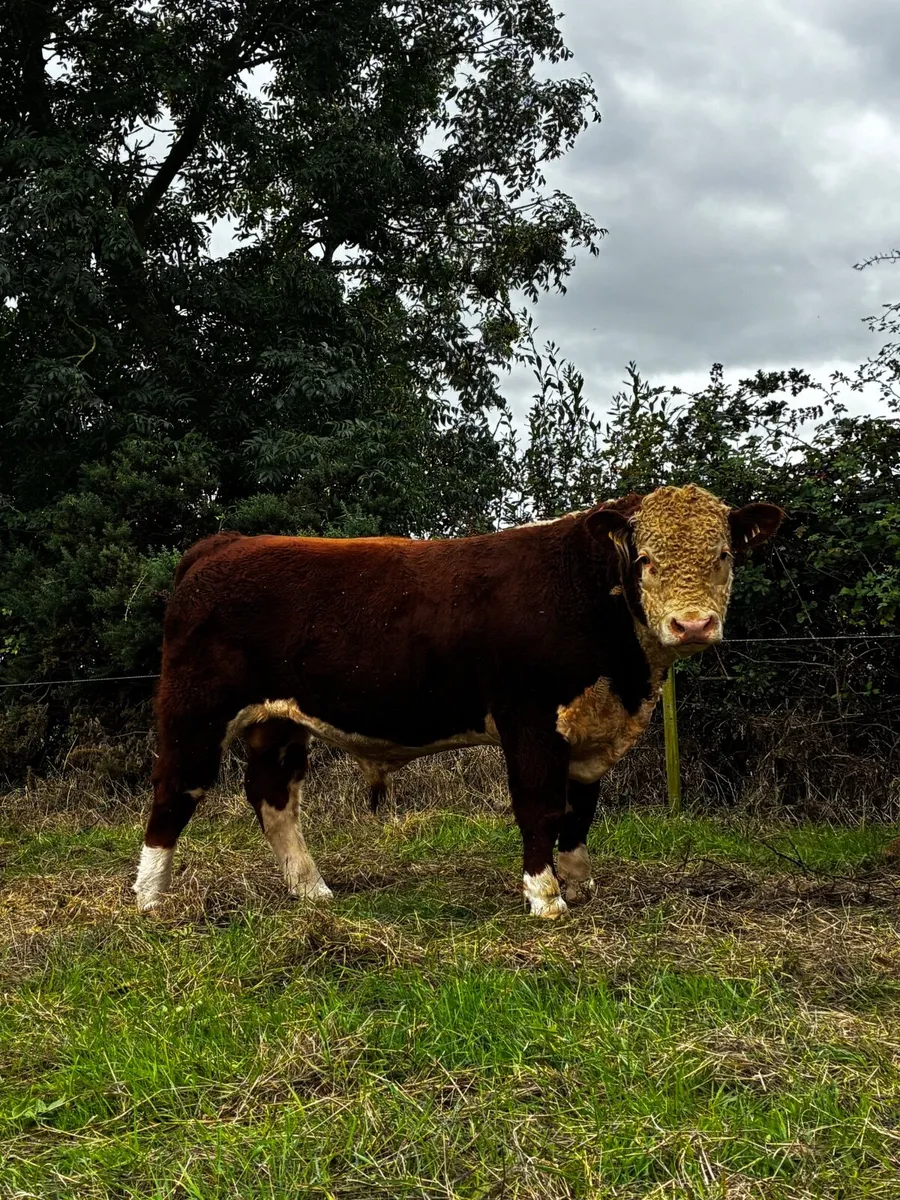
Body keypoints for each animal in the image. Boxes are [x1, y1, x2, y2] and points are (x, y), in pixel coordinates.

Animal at [134, 484, 783, 918]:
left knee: (274, 799)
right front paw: (546, 898)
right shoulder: (530, 719)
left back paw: (313, 890)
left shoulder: (588, 728)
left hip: (277, 723)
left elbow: (580, 811)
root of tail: (224, 543)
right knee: (175, 791)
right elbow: (540, 808)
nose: (693, 624)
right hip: (194, 711)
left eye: (723, 555)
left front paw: (579, 885)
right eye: (645, 559)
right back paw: (150, 900)